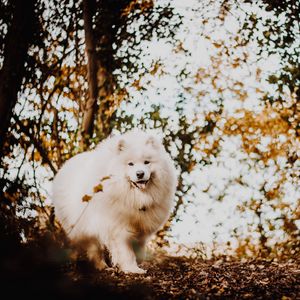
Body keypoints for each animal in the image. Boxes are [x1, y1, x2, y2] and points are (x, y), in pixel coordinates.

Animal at [52, 129, 177, 274]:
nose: (140, 174)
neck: (135, 197)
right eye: (130, 164)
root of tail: (65, 165)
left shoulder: (141, 228)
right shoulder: (119, 228)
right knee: (89, 247)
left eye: (147, 162)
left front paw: (138, 263)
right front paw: (132, 268)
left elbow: (139, 249)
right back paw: (93, 265)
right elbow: (127, 252)